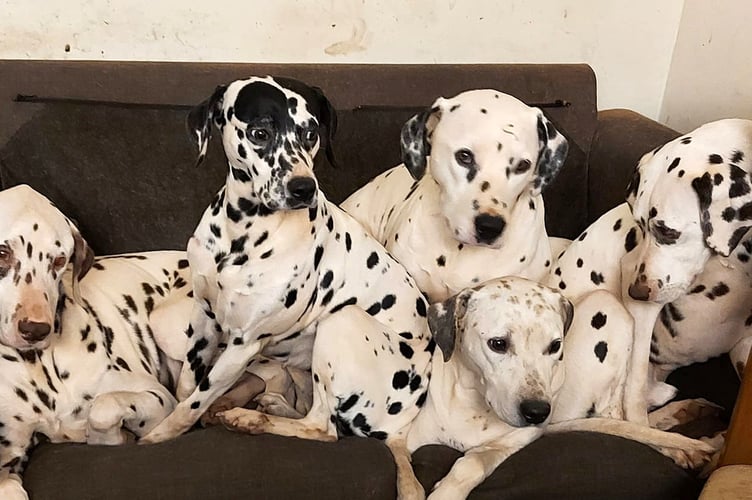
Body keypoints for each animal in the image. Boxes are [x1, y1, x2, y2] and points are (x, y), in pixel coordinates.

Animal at [0, 185, 194, 500]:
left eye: (58, 260)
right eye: (3, 252)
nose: (35, 329)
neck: (39, 367)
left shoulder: (159, 398)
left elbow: (103, 408)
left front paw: (109, 436)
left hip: (169, 325)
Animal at [140, 75, 434, 476]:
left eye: (310, 133)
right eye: (260, 132)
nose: (303, 188)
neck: (242, 233)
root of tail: (400, 429)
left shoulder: (243, 343)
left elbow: (194, 402)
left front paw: (159, 435)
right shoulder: (204, 318)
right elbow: (187, 386)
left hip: (340, 320)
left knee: (323, 427)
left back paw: (250, 418)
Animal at [219, 276, 716, 498]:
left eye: (554, 345)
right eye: (498, 344)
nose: (537, 410)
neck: (474, 405)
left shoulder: (518, 440)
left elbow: (472, 463)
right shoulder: (400, 438)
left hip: (607, 310)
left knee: (621, 414)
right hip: (339, 320)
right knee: (319, 425)